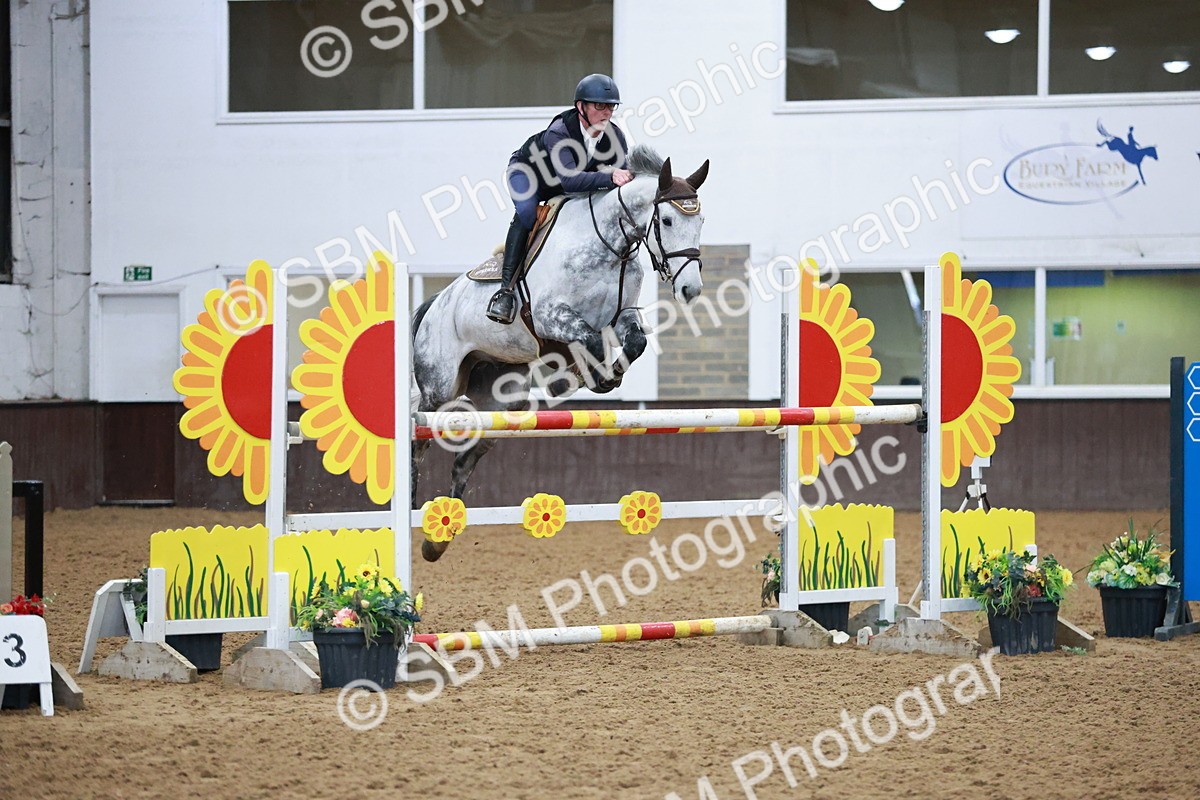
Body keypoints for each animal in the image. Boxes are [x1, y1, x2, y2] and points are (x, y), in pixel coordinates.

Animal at [411, 144, 709, 562]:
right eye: (665, 220)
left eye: (701, 222)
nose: (690, 289)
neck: (609, 247)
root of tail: (434, 303)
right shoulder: (552, 316)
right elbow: (591, 341)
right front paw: (590, 377)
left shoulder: (623, 315)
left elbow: (634, 343)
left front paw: (605, 377)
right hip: (440, 388)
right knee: (419, 433)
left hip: (502, 399)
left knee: (468, 454)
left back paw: (439, 538)